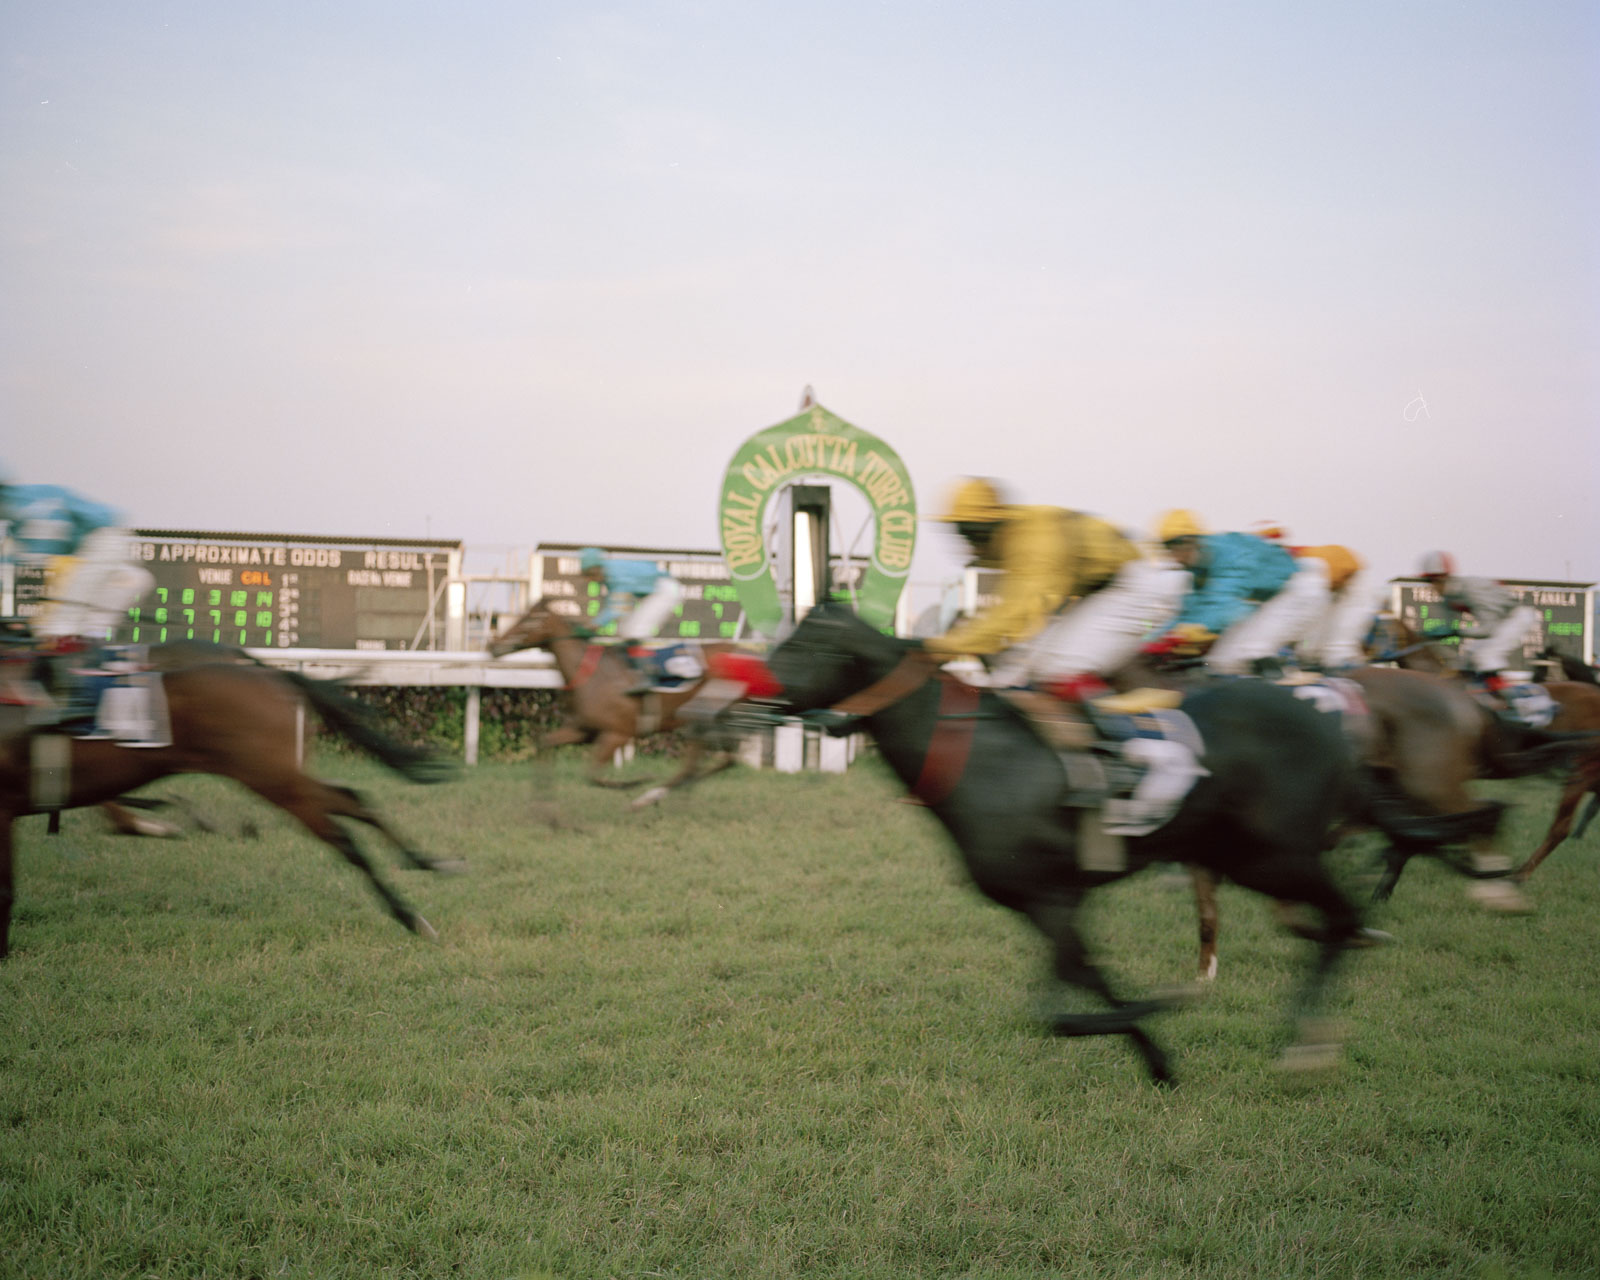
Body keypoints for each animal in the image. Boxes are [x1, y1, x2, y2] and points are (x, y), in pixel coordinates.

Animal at [0, 649, 457, 960]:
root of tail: (278, 678)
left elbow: (6, 889)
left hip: (271, 777)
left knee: (342, 833)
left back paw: (413, 914)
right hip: (275, 775)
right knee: (351, 802)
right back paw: (425, 866)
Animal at [483, 601, 739, 809]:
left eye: (530, 619)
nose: (493, 646)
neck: (593, 674)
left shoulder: (617, 733)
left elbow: (592, 775)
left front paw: (637, 781)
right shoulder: (583, 730)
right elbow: (545, 744)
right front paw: (547, 816)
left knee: (706, 763)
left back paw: (647, 798)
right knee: (716, 762)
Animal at [764, 604, 1388, 1088]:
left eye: (806, 643)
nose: (754, 682)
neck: (980, 759)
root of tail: (1324, 716)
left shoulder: (1052, 897)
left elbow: (1063, 1007)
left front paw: (1169, 1005)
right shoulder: (1047, 903)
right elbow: (1078, 992)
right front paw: (1159, 1059)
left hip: (1273, 855)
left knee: (1340, 914)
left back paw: (1308, 1044)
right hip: (1244, 855)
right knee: (1329, 919)